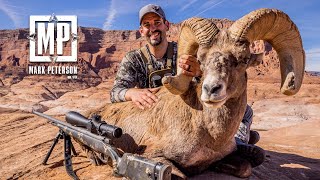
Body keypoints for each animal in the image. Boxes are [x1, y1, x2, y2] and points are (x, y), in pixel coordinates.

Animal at [93, 8, 304, 179]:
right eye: (200, 60)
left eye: (243, 59)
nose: (211, 90)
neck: (209, 133)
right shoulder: (152, 156)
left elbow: (246, 168)